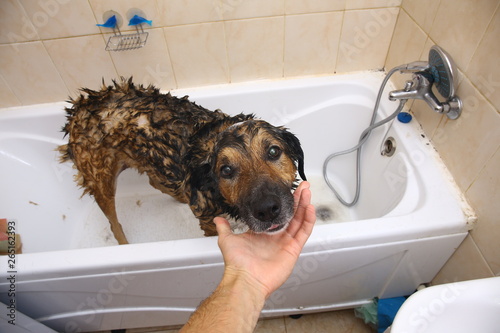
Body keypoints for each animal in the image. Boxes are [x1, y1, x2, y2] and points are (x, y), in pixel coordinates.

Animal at [60, 78, 306, 244]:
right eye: (226, 170)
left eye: (273, 151)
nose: (267, 209)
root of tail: (80, 105)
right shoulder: (209, 222)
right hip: (100, 181)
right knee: (113, 222)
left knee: (155, 182)